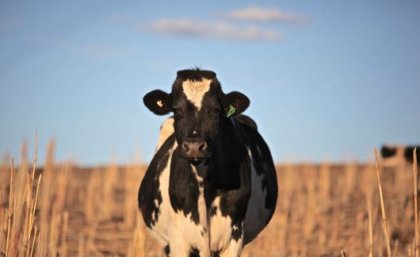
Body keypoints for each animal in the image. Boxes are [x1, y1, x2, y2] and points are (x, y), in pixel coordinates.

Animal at [139, 68, 278, 256]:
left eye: (216, 110)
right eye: (176, 110)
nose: (194, 146)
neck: (206, 186)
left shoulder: (233, 237)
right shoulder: (179, 240)